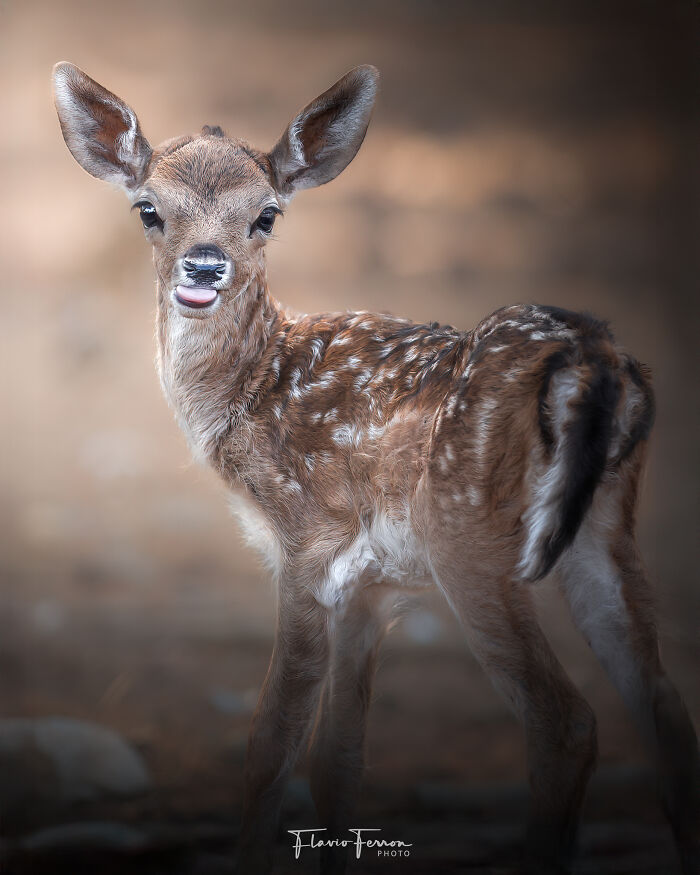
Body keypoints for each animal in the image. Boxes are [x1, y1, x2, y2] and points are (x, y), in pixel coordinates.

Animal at [52, 62, 699, 875]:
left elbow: (271, 745)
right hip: (605, 531)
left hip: (468, 535)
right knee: (667, 711)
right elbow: (338, 762)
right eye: (148, 209)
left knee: (566, 722)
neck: (249, 394)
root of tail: (599, 363)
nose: (204, 267)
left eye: (266, 215)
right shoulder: (372, 589)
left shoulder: (308, 543)